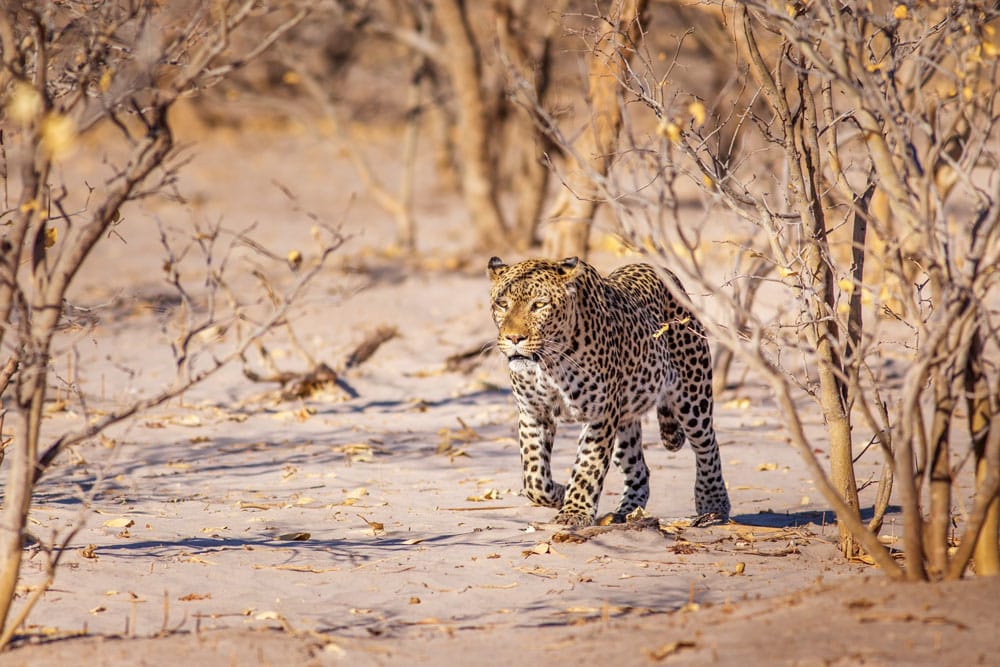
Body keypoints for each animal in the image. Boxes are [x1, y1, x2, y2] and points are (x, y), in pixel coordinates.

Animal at [487, 255, 730, 528]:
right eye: (502, 304)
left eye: (539, 305)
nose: (513, 338)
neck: (547, 366)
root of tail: (665, 273)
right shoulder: (533, 413)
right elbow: (534, 478)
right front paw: (561, 494)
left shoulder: (600, 414)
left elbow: (588, 467)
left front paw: (574, 512)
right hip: (626, 419)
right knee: (638, 468)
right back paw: (626, 512)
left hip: (693, 396)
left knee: (707, 446)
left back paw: (713, 505)